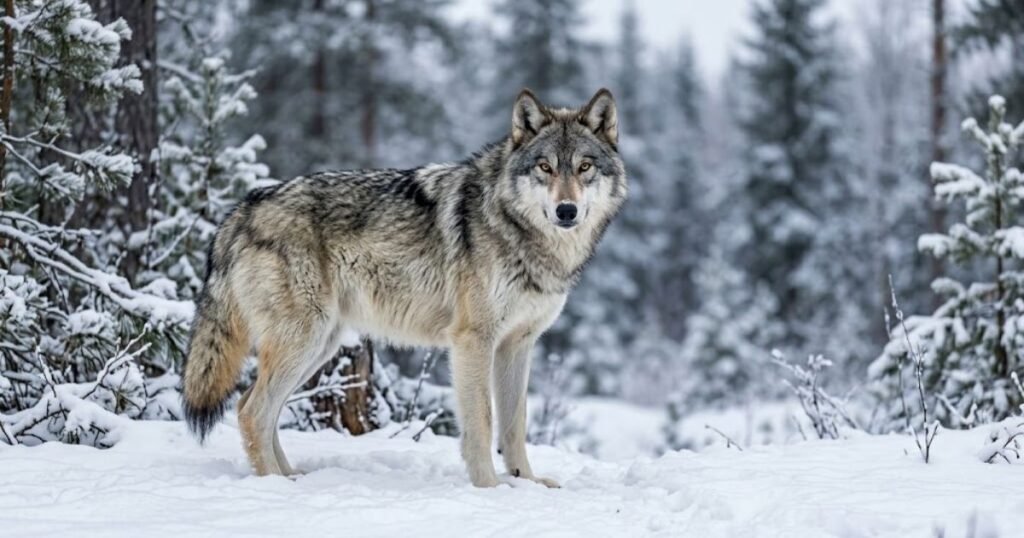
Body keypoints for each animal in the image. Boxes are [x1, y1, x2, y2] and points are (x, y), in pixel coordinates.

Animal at [181, 88, 627, 487]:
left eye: (584, 167)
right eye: (545, 168)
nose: (566, 210)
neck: (522, 235)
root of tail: (241, 210)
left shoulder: (518, 344)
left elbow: (515, 424)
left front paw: (527, 483)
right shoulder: (473, 340)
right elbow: (482, 422)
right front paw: (490, 489)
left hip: (320, 346)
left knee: (256, 409)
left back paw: (290, 476)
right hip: (303, 341)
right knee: (251, 411)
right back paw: (274, 485)